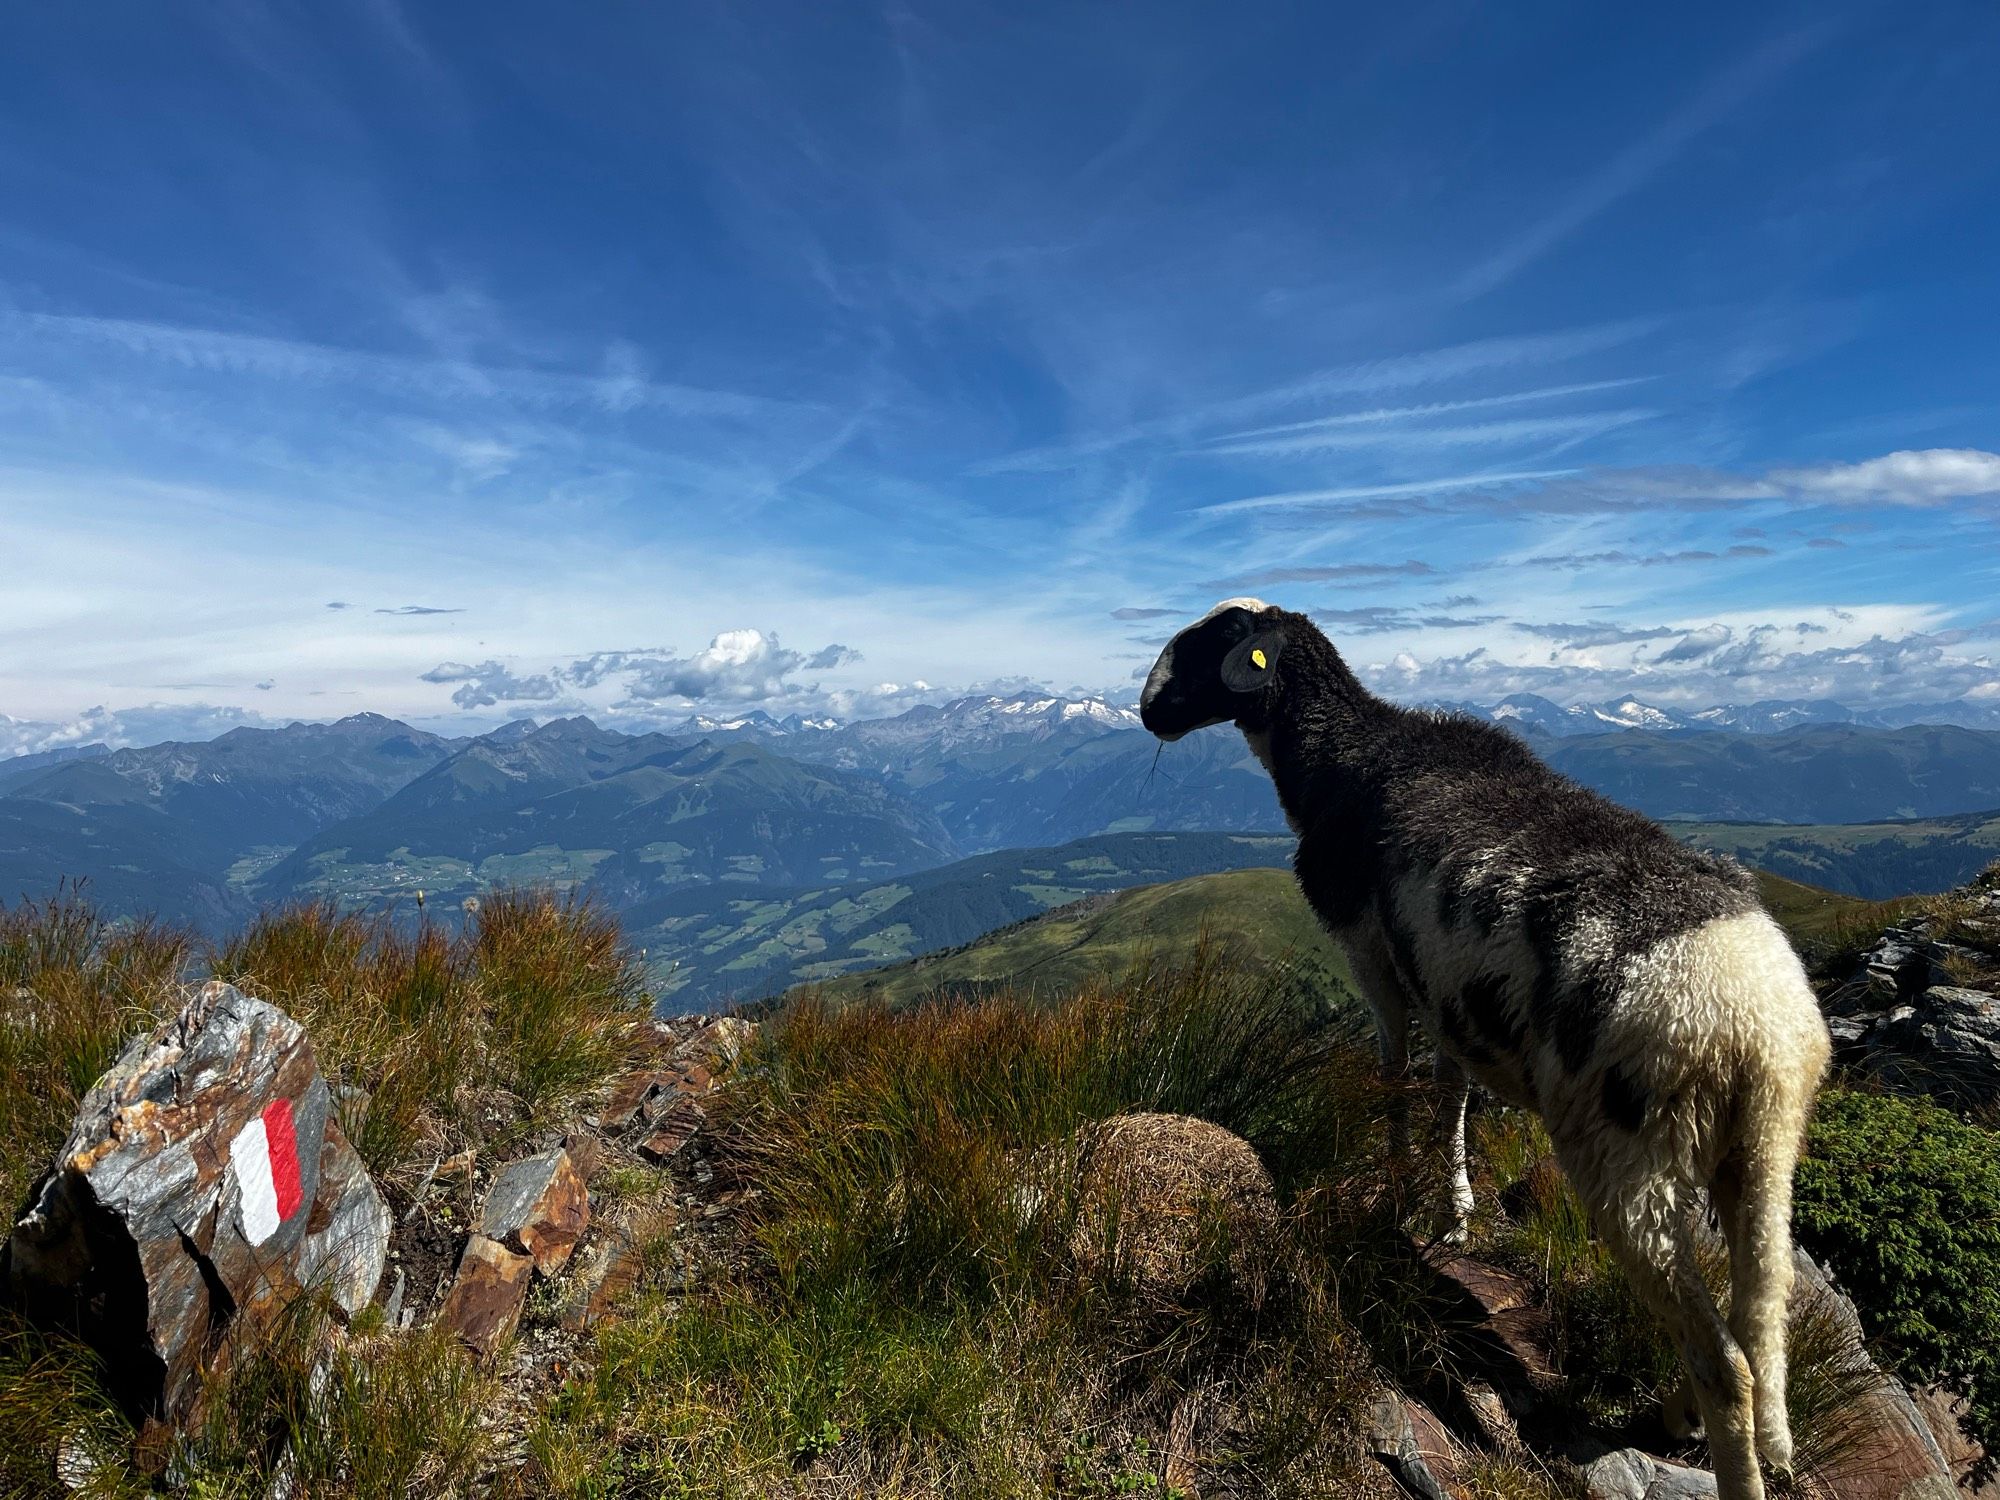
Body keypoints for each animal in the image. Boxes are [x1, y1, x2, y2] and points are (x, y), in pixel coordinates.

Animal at [1144, 600, 1832, 1500]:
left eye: (1211, 640)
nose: (1147, 710)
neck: (1343, 754)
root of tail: (1753, 1028)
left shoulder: (1372, 957)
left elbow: (1393, 1073)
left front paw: (1399, 1200)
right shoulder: (1448, 1000)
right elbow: (1450, 1092)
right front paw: (1454, 1213)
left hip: (1626, 1160)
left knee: (1729, 1366)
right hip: (1757, 1159)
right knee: (1759, 1317)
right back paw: (1680, 1411)